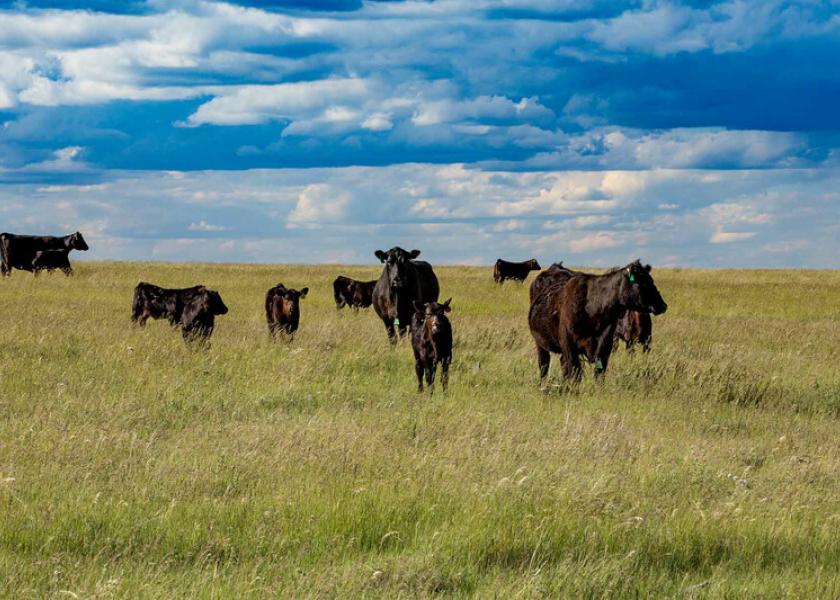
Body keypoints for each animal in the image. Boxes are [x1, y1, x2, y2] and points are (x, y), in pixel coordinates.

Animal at [528, 260, 668, 386]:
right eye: (643, 282)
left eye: (651, 280)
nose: (663, 305)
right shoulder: (569, 345)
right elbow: (575, 373)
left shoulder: (605, 346)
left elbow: (598, 374)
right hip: (540, 344)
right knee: (544, 366)